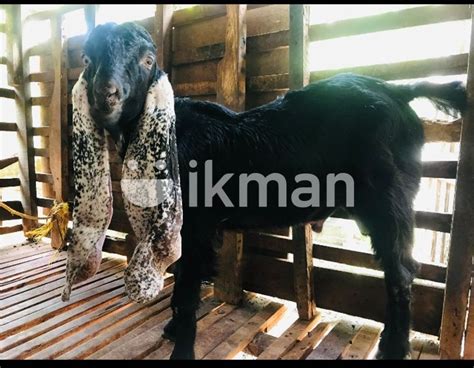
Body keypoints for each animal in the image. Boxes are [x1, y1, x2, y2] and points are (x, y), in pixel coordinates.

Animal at [77, 21, 466, 358]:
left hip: (387, 199)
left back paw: (394, 348)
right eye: (87, 58)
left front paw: (182, 348)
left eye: (147, 60)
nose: (106, 96)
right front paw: (173, 329)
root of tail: (398, 90)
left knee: (401, 269)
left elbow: (187, 284)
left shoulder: (197, 225)